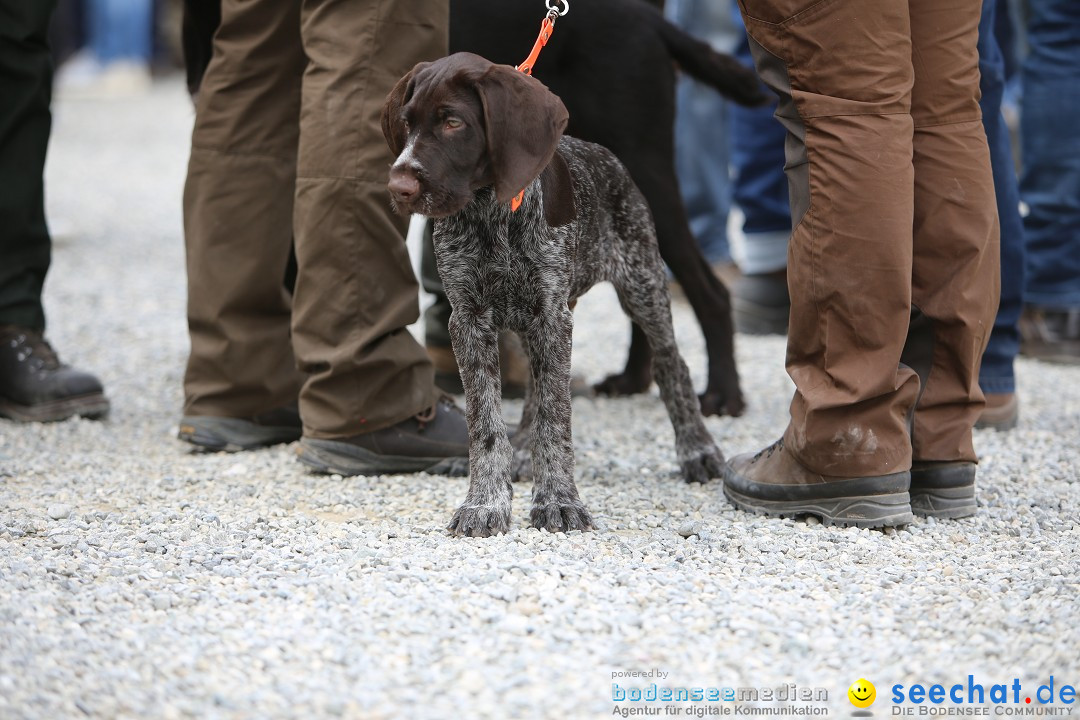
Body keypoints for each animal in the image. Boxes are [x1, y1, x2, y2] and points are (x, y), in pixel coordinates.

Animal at [380, 53, 725, 537]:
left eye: (453, 122)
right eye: (407, 123)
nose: (400, 188)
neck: (491, 212)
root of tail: (608, 156)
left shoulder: (552, 316)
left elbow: (555, 417)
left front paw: (559, 500)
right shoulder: (470, 318)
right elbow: (485, 421)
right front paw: (485, 502)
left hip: (643, 285)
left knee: (671, 364)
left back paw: (697, 449)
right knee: (533, 390)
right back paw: (523, 451)